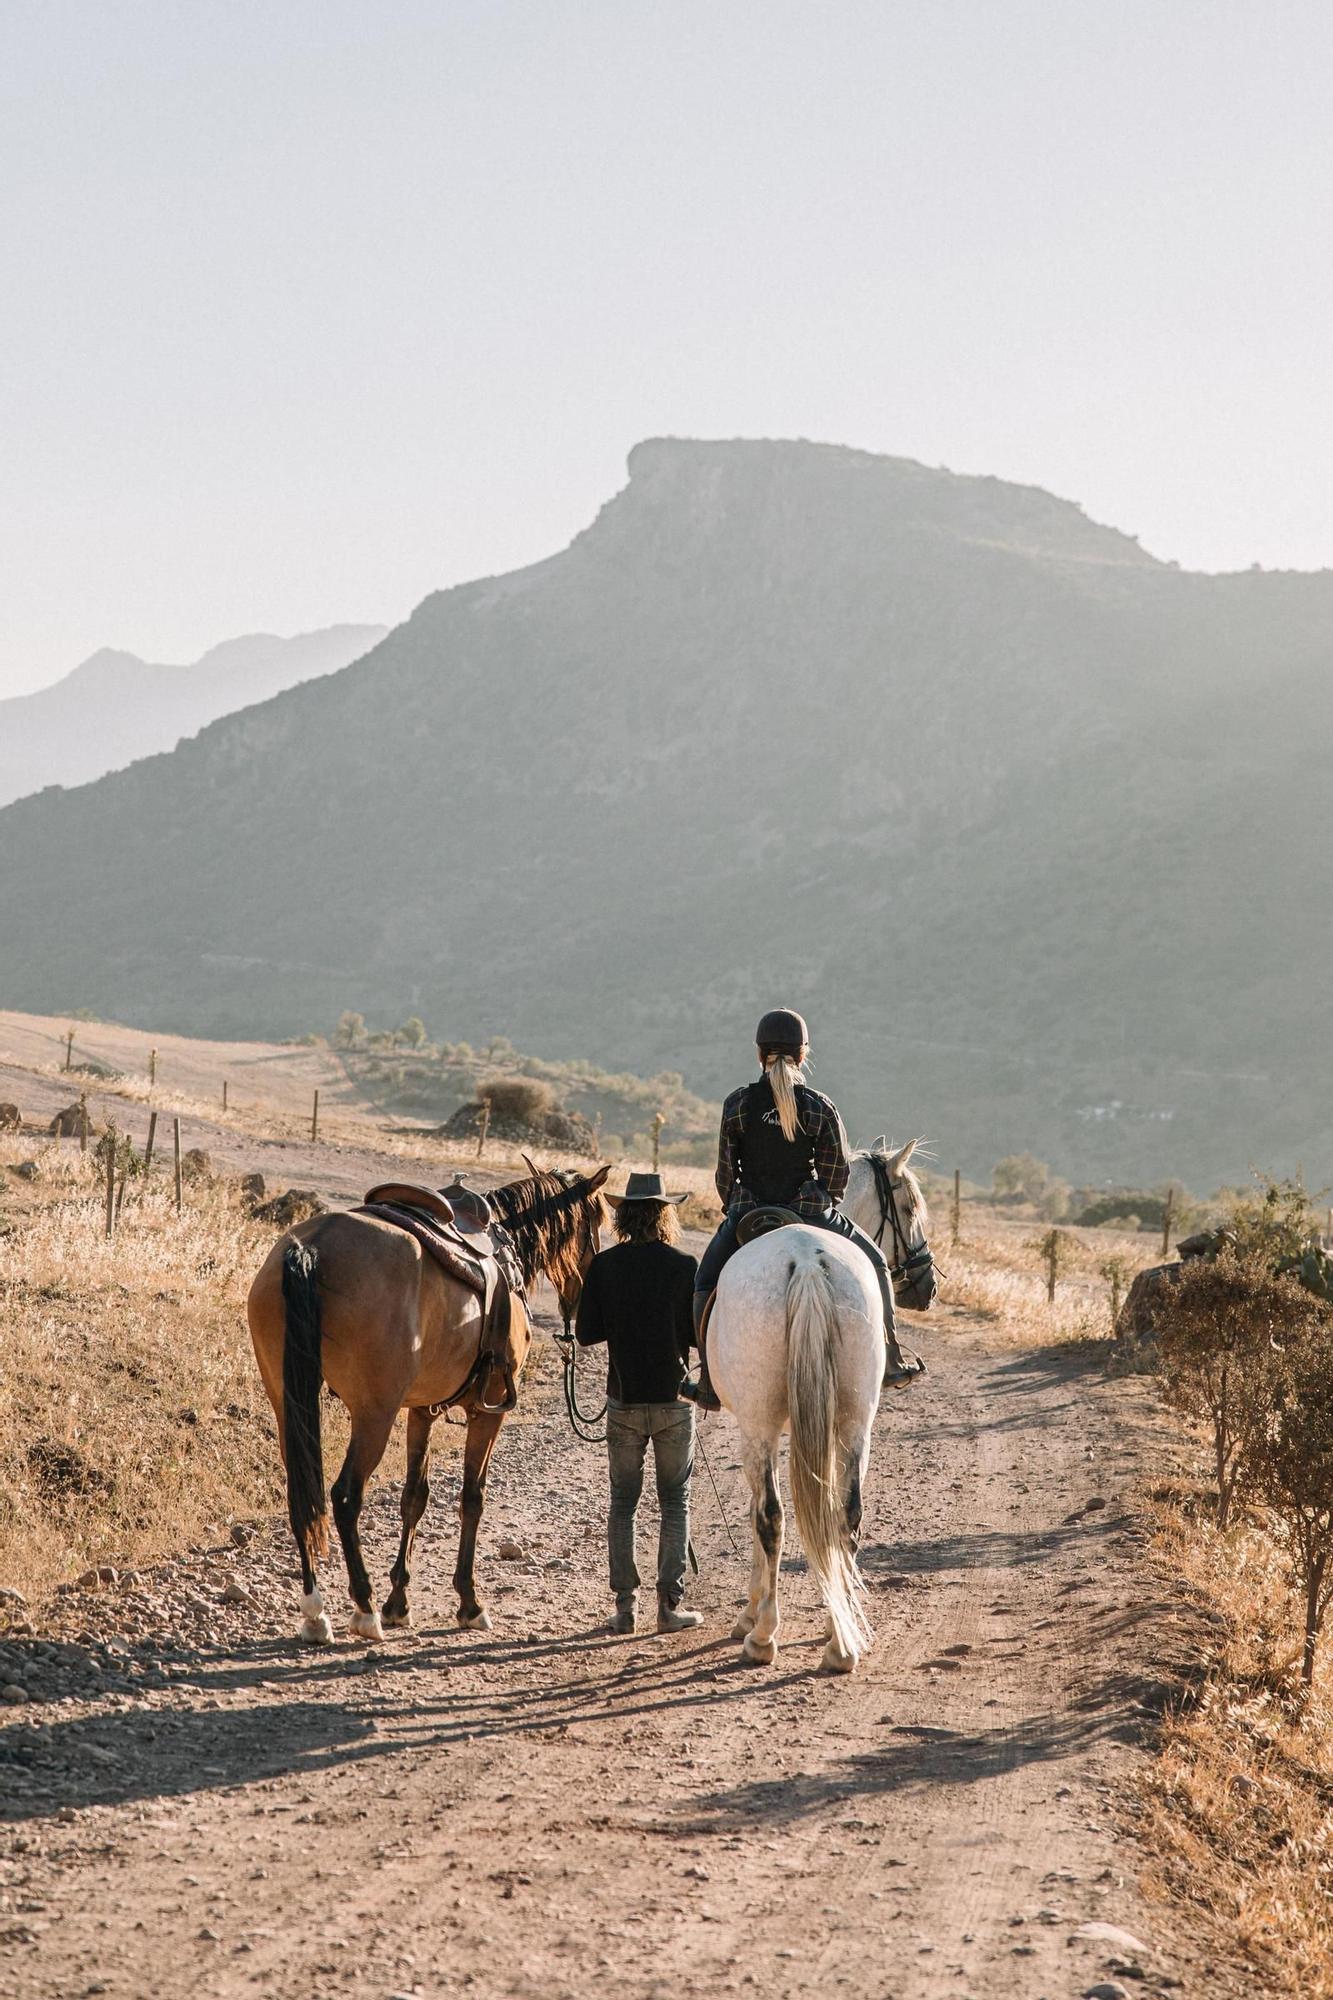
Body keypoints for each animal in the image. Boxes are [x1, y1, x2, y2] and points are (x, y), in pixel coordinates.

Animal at [247, 1162, 610, 1645]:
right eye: (596, 1223)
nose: (588, 1300)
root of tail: (312, 1248)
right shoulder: (488, 1411)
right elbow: (472, 1497)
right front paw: (469, 1603)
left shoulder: (422, 1410)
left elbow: (414, 1497)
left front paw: (399, 1601)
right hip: (374, 1415)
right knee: (344, 1497)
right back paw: (363, 1608)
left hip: (288, 1404)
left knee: (301, 1496)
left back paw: (315, 1612)